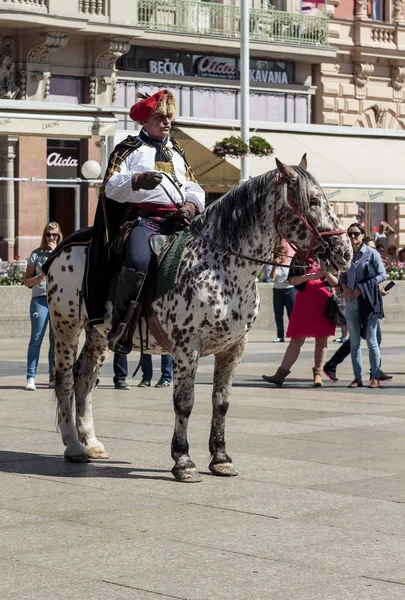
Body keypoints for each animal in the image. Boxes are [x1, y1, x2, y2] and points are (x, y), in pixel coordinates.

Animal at [45, 156, 352, 482]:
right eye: (314, 200)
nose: (346, 252)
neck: (220, 267)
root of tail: (65, 245)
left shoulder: (234, 349)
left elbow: (222, 402)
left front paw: (221, 458)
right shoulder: (186, 347)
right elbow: (185, 403)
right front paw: (183, 460)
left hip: (99, 333)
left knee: (85, 378)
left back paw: (91, 442)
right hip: (65, 326)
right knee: (65, 379)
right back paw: (73, 445)